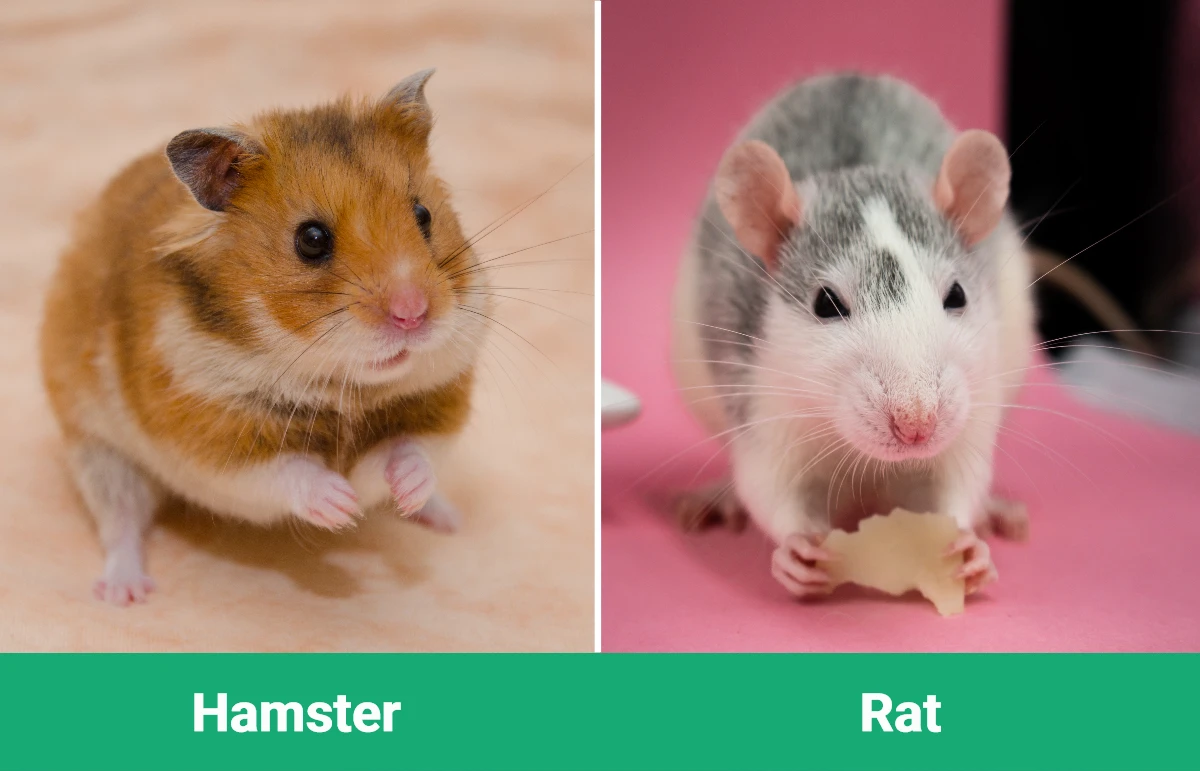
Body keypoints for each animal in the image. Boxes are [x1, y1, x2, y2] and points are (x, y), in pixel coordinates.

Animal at [40, 69, 491, 605]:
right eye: (311, 240)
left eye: (424, 215)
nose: (413, 315)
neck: (343, 386)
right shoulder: (208, 434)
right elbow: (288, 471)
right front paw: (342, 506)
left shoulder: (437, 403)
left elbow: (408, 450)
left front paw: (398, 491)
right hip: (99, 452)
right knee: (120, 523)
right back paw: (123, 594)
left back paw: (446, 518)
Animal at [671, 73, 1035, 598]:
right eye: (826, 304)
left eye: (957, 295)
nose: (916, 425)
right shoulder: (763, 403)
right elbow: (769, 483)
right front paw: (795, 547)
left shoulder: (975, 404)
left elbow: (961, 475)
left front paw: (972, 544)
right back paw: (717, 498)